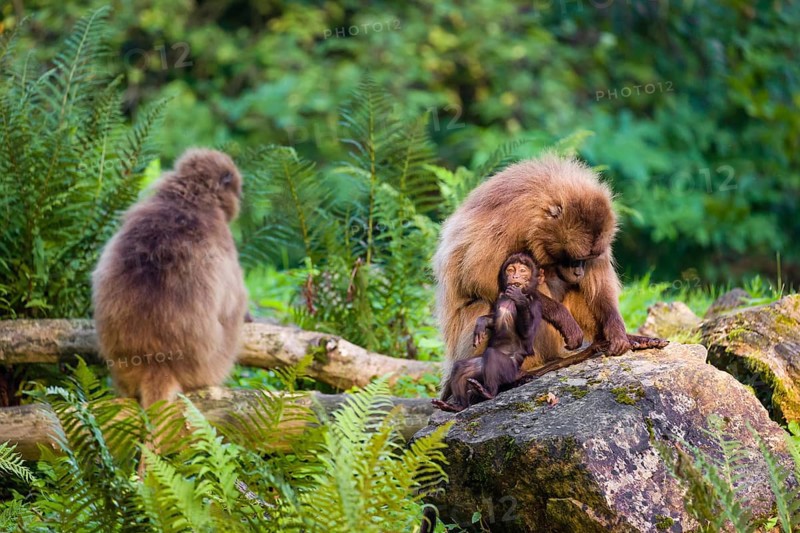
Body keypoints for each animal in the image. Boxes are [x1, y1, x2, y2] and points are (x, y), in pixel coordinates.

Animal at [433, 153, 667, 395]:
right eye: (573, 257)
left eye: (587, 257)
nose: (578, 270)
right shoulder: (511, 218)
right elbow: (481, 277)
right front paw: (563, 317)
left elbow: (598, 285)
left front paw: (617, 331)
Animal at [433, 253, 583, 412]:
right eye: (511, 270)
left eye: (523, 271)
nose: (515, 276)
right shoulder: (500, 295)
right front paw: (482, 322)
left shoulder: (535, 303)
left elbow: (527, 332)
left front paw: (520, 299)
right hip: (481, 367)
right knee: (461, 367)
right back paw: (458, 405)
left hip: (509, 368)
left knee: (492, 356)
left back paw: (488, 392)